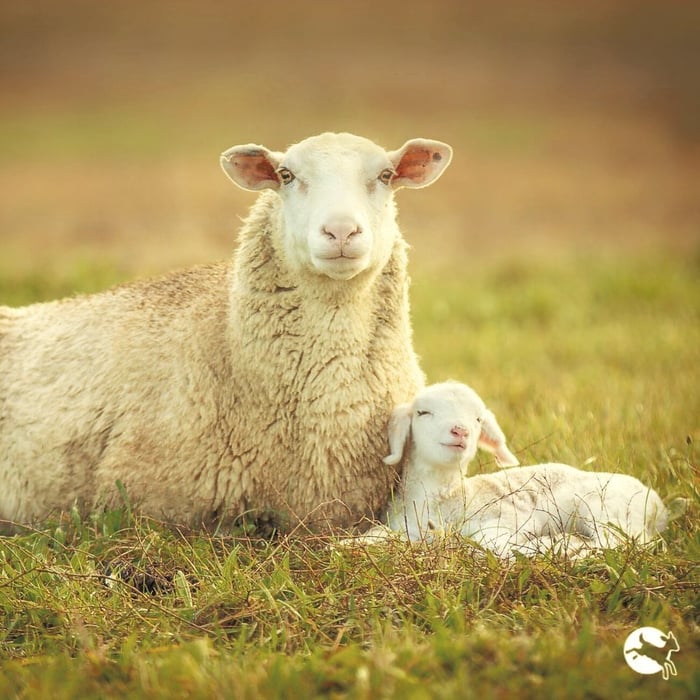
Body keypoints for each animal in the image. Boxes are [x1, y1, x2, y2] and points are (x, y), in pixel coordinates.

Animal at [360, 382, 668, 556]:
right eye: (422, 413)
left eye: (478, 419)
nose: (460, 431)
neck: (446, 497)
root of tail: (657, 505)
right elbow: (379, 536)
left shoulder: (503, 519)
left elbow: (489, 541)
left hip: (604, 508)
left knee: (623, 543)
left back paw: (564, 545)